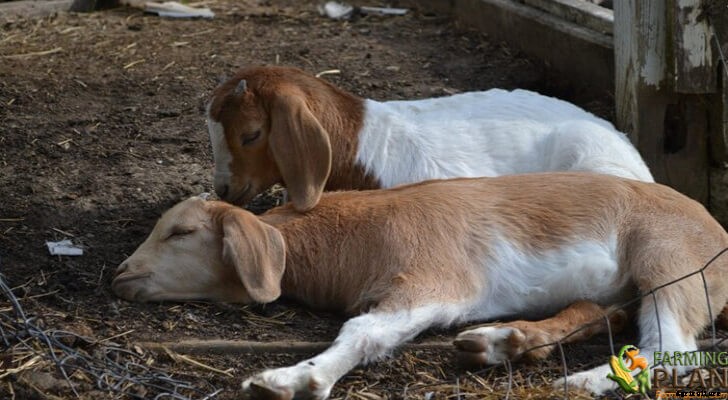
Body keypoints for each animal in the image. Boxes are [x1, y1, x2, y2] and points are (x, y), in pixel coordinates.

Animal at [113, 172, 727, 399]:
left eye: (183, 231)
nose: (121, 275)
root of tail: (718, 231)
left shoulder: (433, 283)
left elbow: (362, 332)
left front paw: (290, 380)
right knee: (601, 314)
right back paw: (500, 343)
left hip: (669, 262)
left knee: (672, 347)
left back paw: (582, 381)